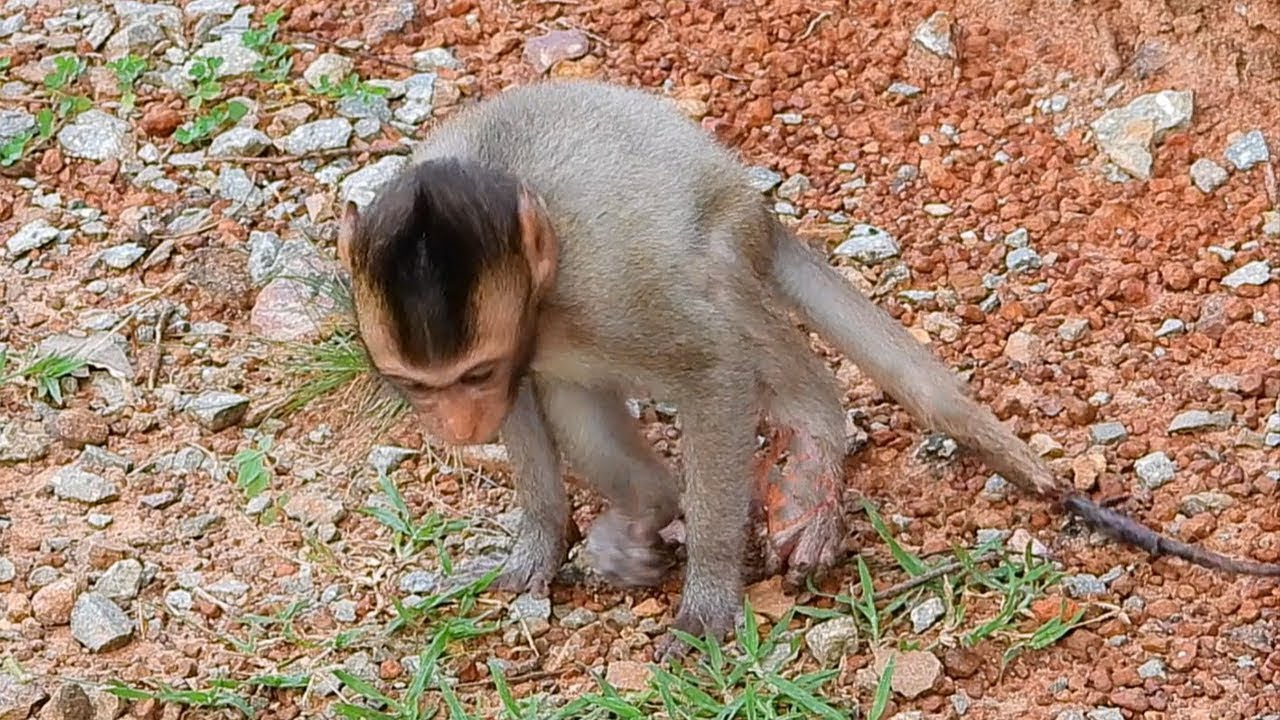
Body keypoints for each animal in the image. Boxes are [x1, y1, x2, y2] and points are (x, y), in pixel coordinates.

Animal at [336, 78, 1280, 659]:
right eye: (422, 386)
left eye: (469, 376)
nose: (457, 425)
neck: (540, 289)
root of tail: (753, 199)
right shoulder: (522, 351)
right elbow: (530, 413)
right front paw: (539, 542)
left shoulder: (608, 292)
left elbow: (713, 373)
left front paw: (709, 597)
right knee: (569, 389)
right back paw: (645, 512)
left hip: (726, 245)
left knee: (721, 291)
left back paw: (814, 443)